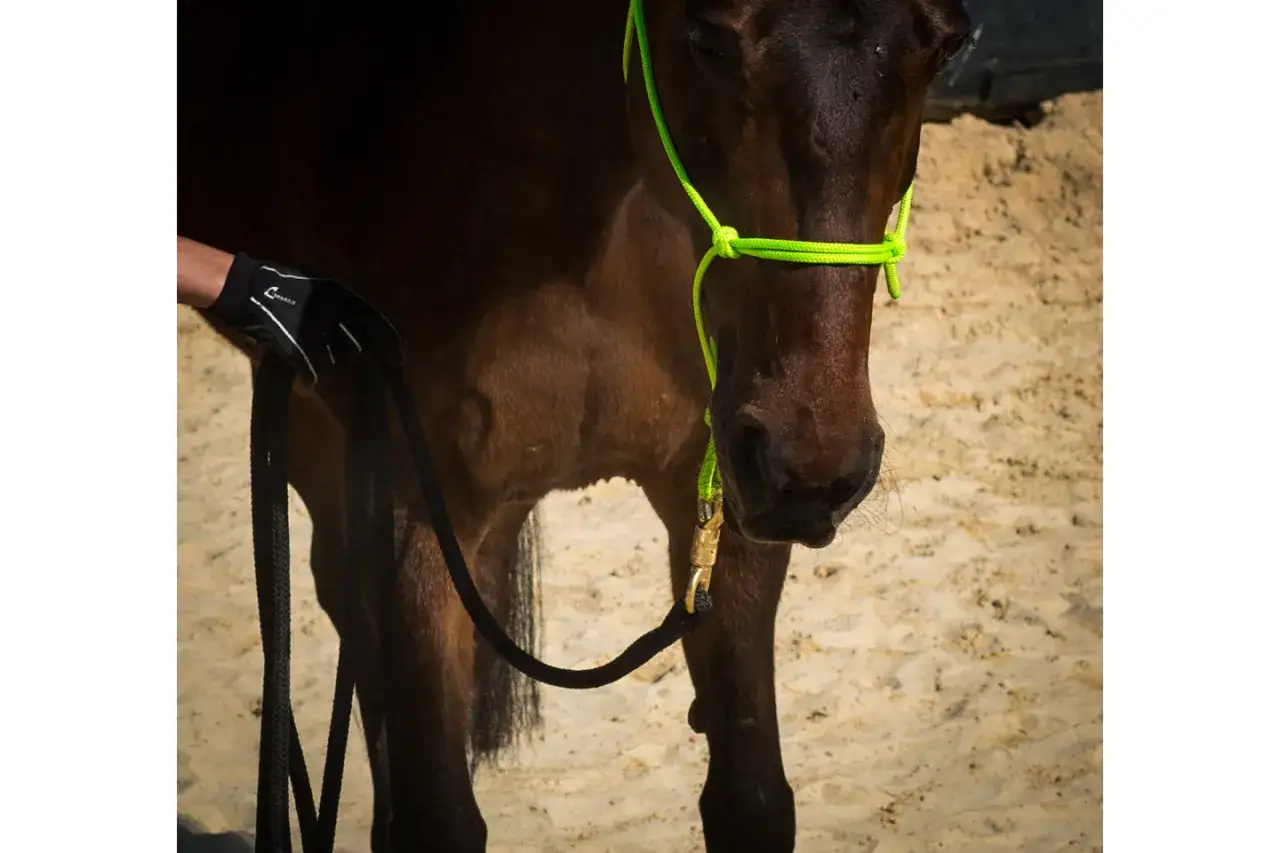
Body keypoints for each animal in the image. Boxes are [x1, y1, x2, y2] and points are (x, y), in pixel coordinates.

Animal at [176, 1, 972, 850]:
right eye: (707, 38)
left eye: (950, 46)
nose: (813, 463)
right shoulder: (411, 510)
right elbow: (437, 812)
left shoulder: (720, 502)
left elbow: (750, 797)